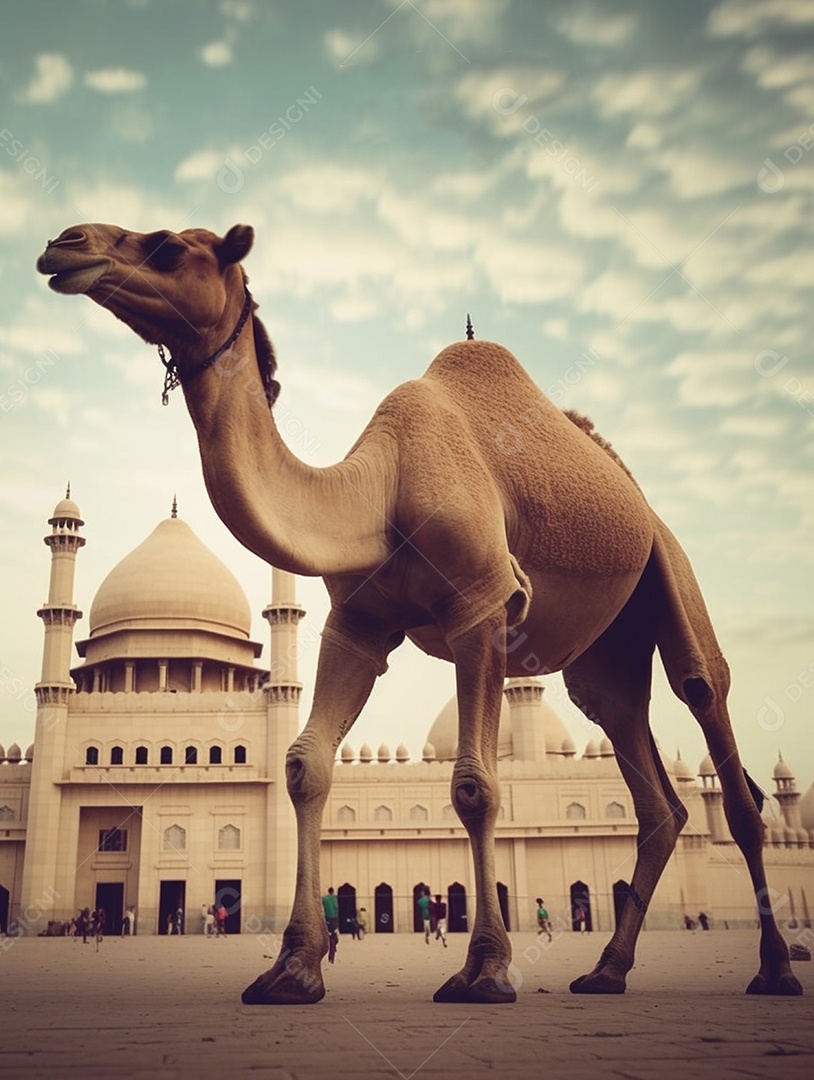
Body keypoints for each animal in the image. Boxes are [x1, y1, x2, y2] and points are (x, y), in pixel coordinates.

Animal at [36, 221, 798, 1002]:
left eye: (166, 244)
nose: (66, 241)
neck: (381, 486)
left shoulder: (483, 604)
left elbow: (474, 784)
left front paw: (485, 970)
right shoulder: (357, 622)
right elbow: (305, 765)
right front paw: (292, 967)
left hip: (666, 560)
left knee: (711, 717)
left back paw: (771, 966)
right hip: (607, 651)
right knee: (641, 769)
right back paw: (607, 969)